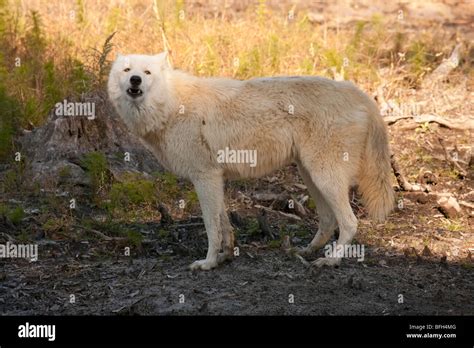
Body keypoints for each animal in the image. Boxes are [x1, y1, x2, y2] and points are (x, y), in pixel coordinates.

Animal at [108, 52, 396, 270]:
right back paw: (307, 251)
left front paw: (208, 263)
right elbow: (224, 224)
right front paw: (225, 256)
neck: (170, 105)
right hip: (312, 176)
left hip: (324, 177)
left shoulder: (205, 177)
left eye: (147, 73)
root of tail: (360, 93)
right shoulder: (215, 179)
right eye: (127, 70)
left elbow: (211, 226)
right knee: (328, 221)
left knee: (349, 222)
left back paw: (331, 261)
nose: (135, 80)